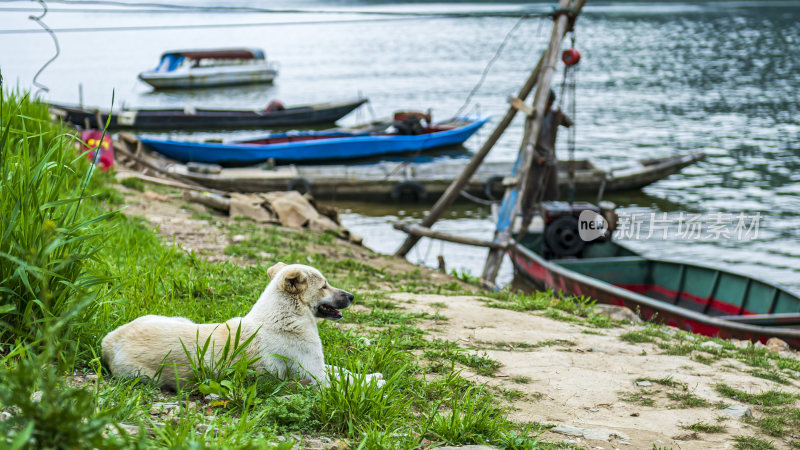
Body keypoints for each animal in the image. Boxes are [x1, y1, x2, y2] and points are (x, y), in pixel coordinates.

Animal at [101, 262, 382, 388]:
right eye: (324, 285)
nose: (352, 296)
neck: (286, 316)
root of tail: (109, 342)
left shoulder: (318, 367)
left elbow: (341, 370)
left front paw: (372, 376)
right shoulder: (314, 377)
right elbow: (344, 379)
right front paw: (374, 381)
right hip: (143, 376)